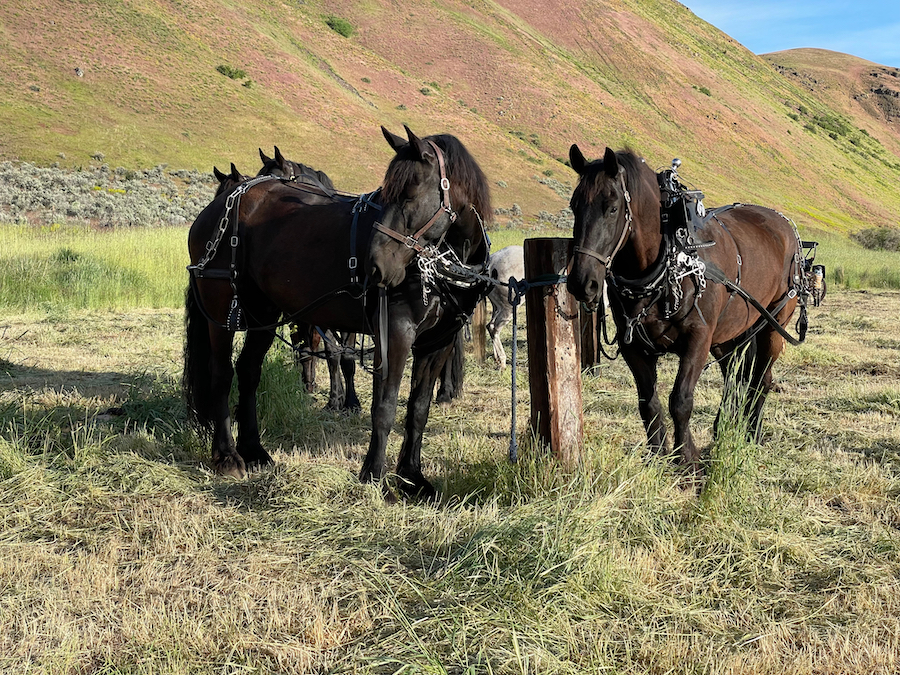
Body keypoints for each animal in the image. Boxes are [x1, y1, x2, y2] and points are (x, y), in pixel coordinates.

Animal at [185, 127, 492, 500]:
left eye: (409, 192)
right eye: (386, 193)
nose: (376, 266)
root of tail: (219, 207)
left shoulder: (439, 340)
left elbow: (418, 409)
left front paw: (412, 477)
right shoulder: (396, 332)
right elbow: (384, 406)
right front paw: (373, 474)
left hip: (264, 313)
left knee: (248, 372)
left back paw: (255, 451)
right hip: (221, 308)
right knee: (221, 373)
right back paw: (228, 455)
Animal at [568, 147, 804, 476]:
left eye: (612, 208)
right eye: (574, 206)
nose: (582, 283)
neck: (667, 262)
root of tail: (783, 225)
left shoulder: (698, 340)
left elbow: (680, 400)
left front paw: (686, 457)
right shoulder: (634, 347)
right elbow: (648, 403)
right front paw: (656, 455)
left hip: (773, 324)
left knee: (761, 380)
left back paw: (752, 431)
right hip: (730, 334)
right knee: (735, 378)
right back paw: (725, 427)